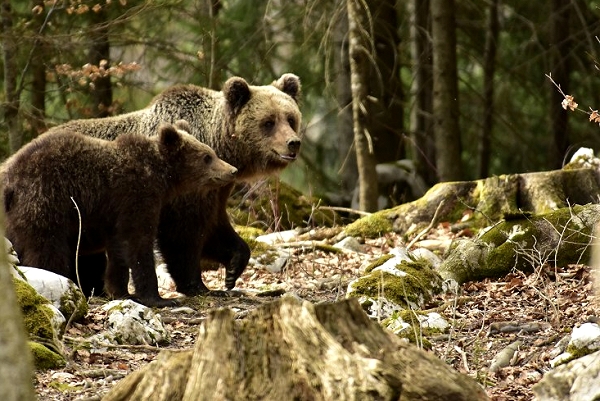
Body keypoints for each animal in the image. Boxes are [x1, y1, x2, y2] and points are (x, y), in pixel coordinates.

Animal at [1, 122, 238, 306]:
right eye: (206, 157)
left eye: (212, 153)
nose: (232, 170)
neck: (162, 177)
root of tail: (9, 176)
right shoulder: (137, 195)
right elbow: (139, 243)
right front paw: (159, 298)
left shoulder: (115, 214)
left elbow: (119, 250)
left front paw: (121, 292)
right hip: (46, 201)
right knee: (46, 248)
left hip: (16, 217)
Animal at [44, 72, 302, 296]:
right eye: (268, 122)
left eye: (290, 118)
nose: (293, 143)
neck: (221, 146)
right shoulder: (185, 185)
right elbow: (183, 233)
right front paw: (198, 285)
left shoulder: (216, 190)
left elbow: (215, 227)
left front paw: (232, 269)